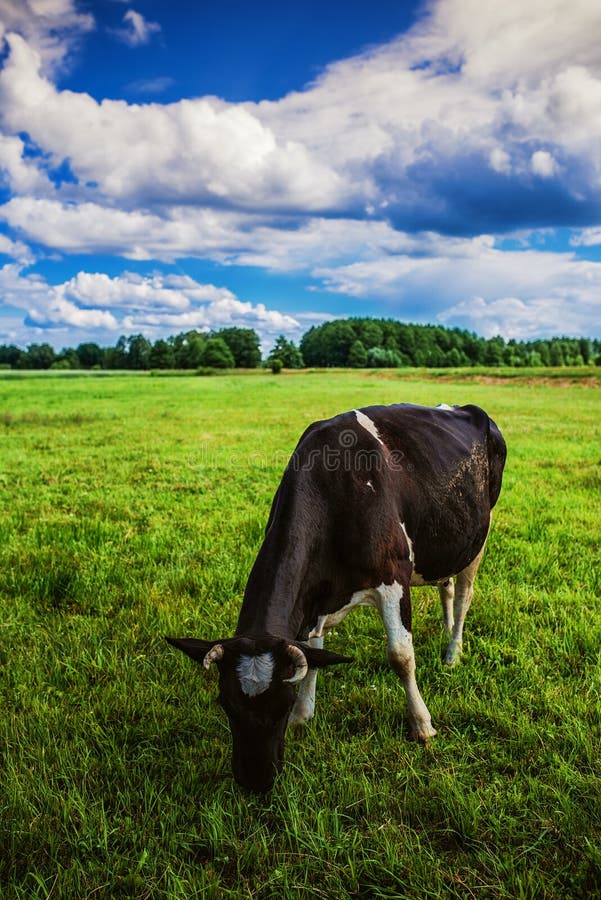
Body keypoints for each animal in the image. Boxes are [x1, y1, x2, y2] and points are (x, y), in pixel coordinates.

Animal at [168, 404, 506, 792]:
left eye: (281, 704)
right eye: (224, 702)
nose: (255, 781)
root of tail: (464, 408)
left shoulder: (393, 578)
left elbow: (401, 656)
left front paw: (422, 725)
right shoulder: (316, 598)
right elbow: (313, 653)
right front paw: (305, 715)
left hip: (479, 535)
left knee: (464, 595)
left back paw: (453, 651)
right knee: (446, 585)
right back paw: (447, 629)